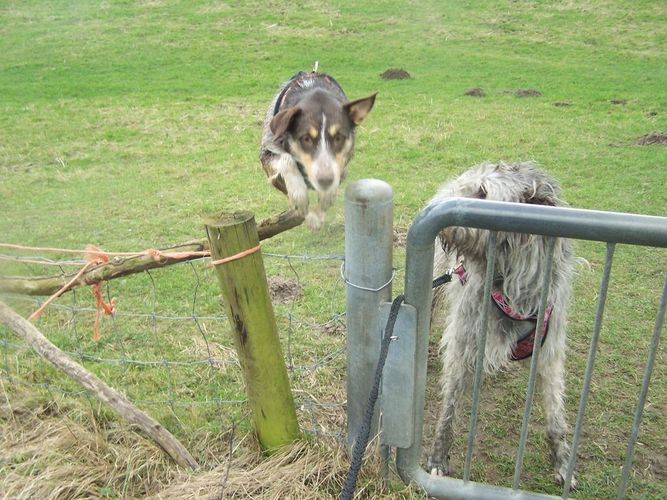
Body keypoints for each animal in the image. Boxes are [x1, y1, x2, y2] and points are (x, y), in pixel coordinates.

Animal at [260, 71, 376, 230]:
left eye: (338, 137)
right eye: (306, 139)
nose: (325, 179)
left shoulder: (343, 162)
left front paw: (323, 204)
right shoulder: (267, 151)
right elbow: (286, 160)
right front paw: (301, 200)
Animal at [428, 161, 580, 488]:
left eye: (483, 192)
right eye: (469, 187)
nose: (436, 208)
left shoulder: (550, 346)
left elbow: (555, 414)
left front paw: (563, 462)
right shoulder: (465, 336)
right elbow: (449, 407)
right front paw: (437, 458)